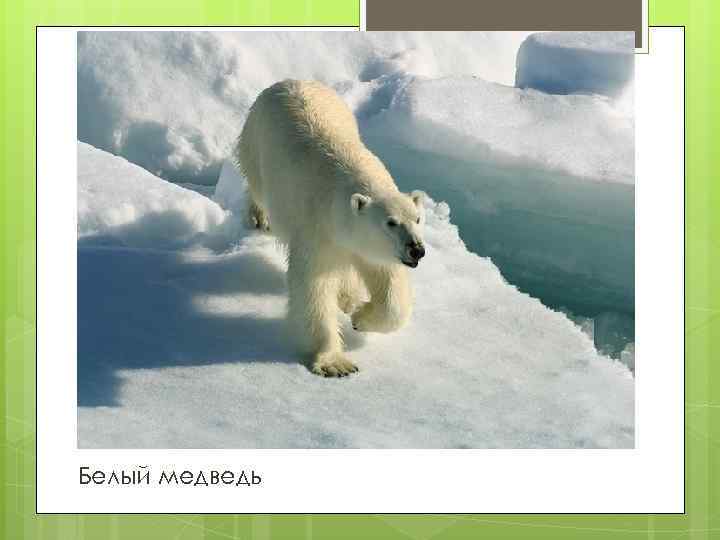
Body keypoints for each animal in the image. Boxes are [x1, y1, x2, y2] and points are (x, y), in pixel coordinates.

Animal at [234, 79, 426, 377]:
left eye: (417, 219)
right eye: (390, 222)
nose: (416, 250)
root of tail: (290, 81)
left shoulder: (369, 246)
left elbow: (389, 284)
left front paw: (360, 317)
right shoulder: (317, 229)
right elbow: (313, 285)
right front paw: (335, 363)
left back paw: (349, 298)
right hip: (255, 141)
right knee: (256, 183)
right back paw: (259, 217)